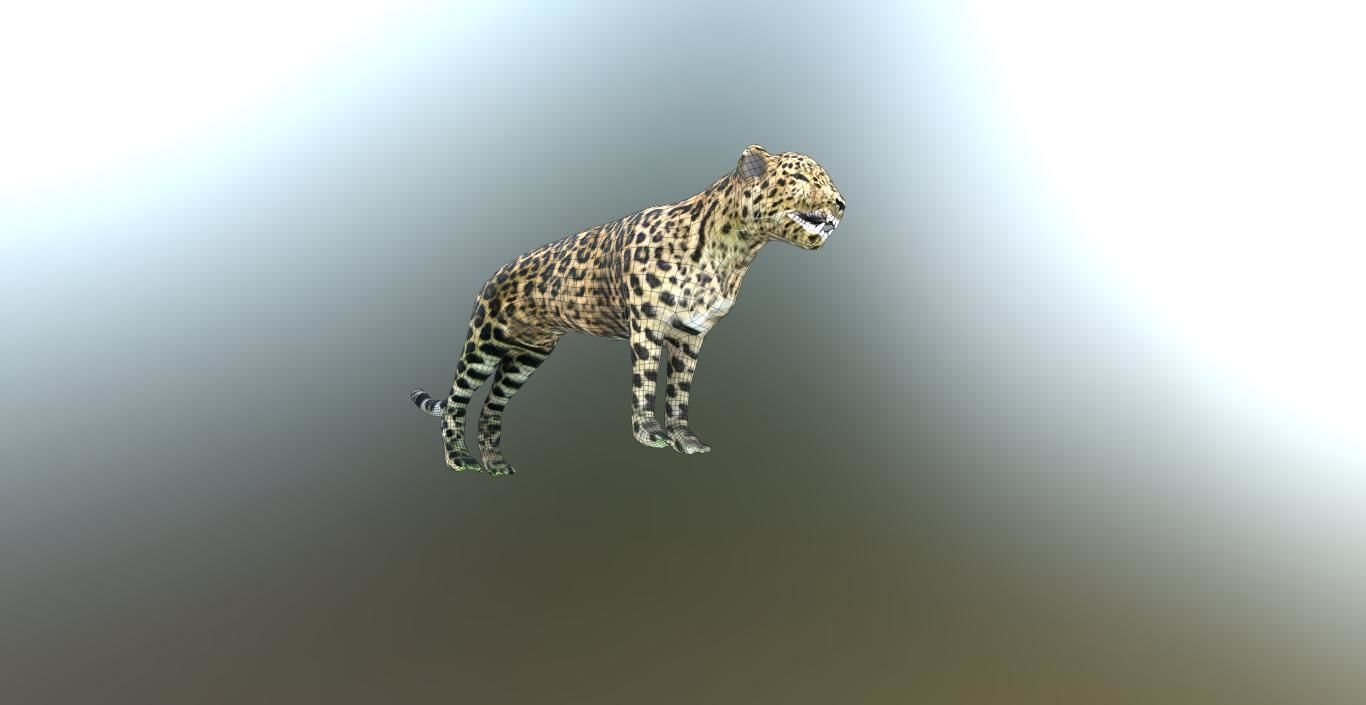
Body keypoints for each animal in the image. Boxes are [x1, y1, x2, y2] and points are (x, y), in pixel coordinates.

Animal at [410, 144, 845, 475]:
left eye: (828, 182)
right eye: (802, 179)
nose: (842, 204)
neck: (734, 252)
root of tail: (494, 272)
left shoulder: (690, 335)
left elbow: (679, 392)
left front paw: (685, 439)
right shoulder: (647, 324)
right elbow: (646, 382)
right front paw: (649, 433)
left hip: (526, 357)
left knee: (491, 406)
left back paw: (496, 464)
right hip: (484, 342)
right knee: (457, 400)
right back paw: (459, 459)